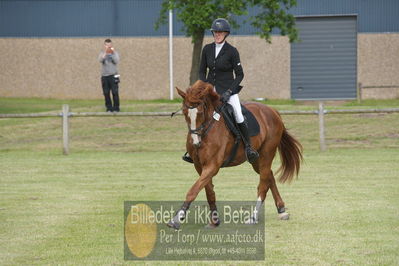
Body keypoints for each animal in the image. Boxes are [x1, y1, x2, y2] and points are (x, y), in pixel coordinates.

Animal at [169, 80, 304, 230]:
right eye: (185, 112)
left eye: (201, 112)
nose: (196, 142)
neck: (207, 129)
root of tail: (273, 111)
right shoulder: (199, 166)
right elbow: (208, 191)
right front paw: (214, 221)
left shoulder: (212, 166)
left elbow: (193, 190)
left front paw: (176, 219)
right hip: (256, 159)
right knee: (269, 176)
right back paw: (281, 210)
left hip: (267, 153)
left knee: (263, 184)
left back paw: (253, 217)